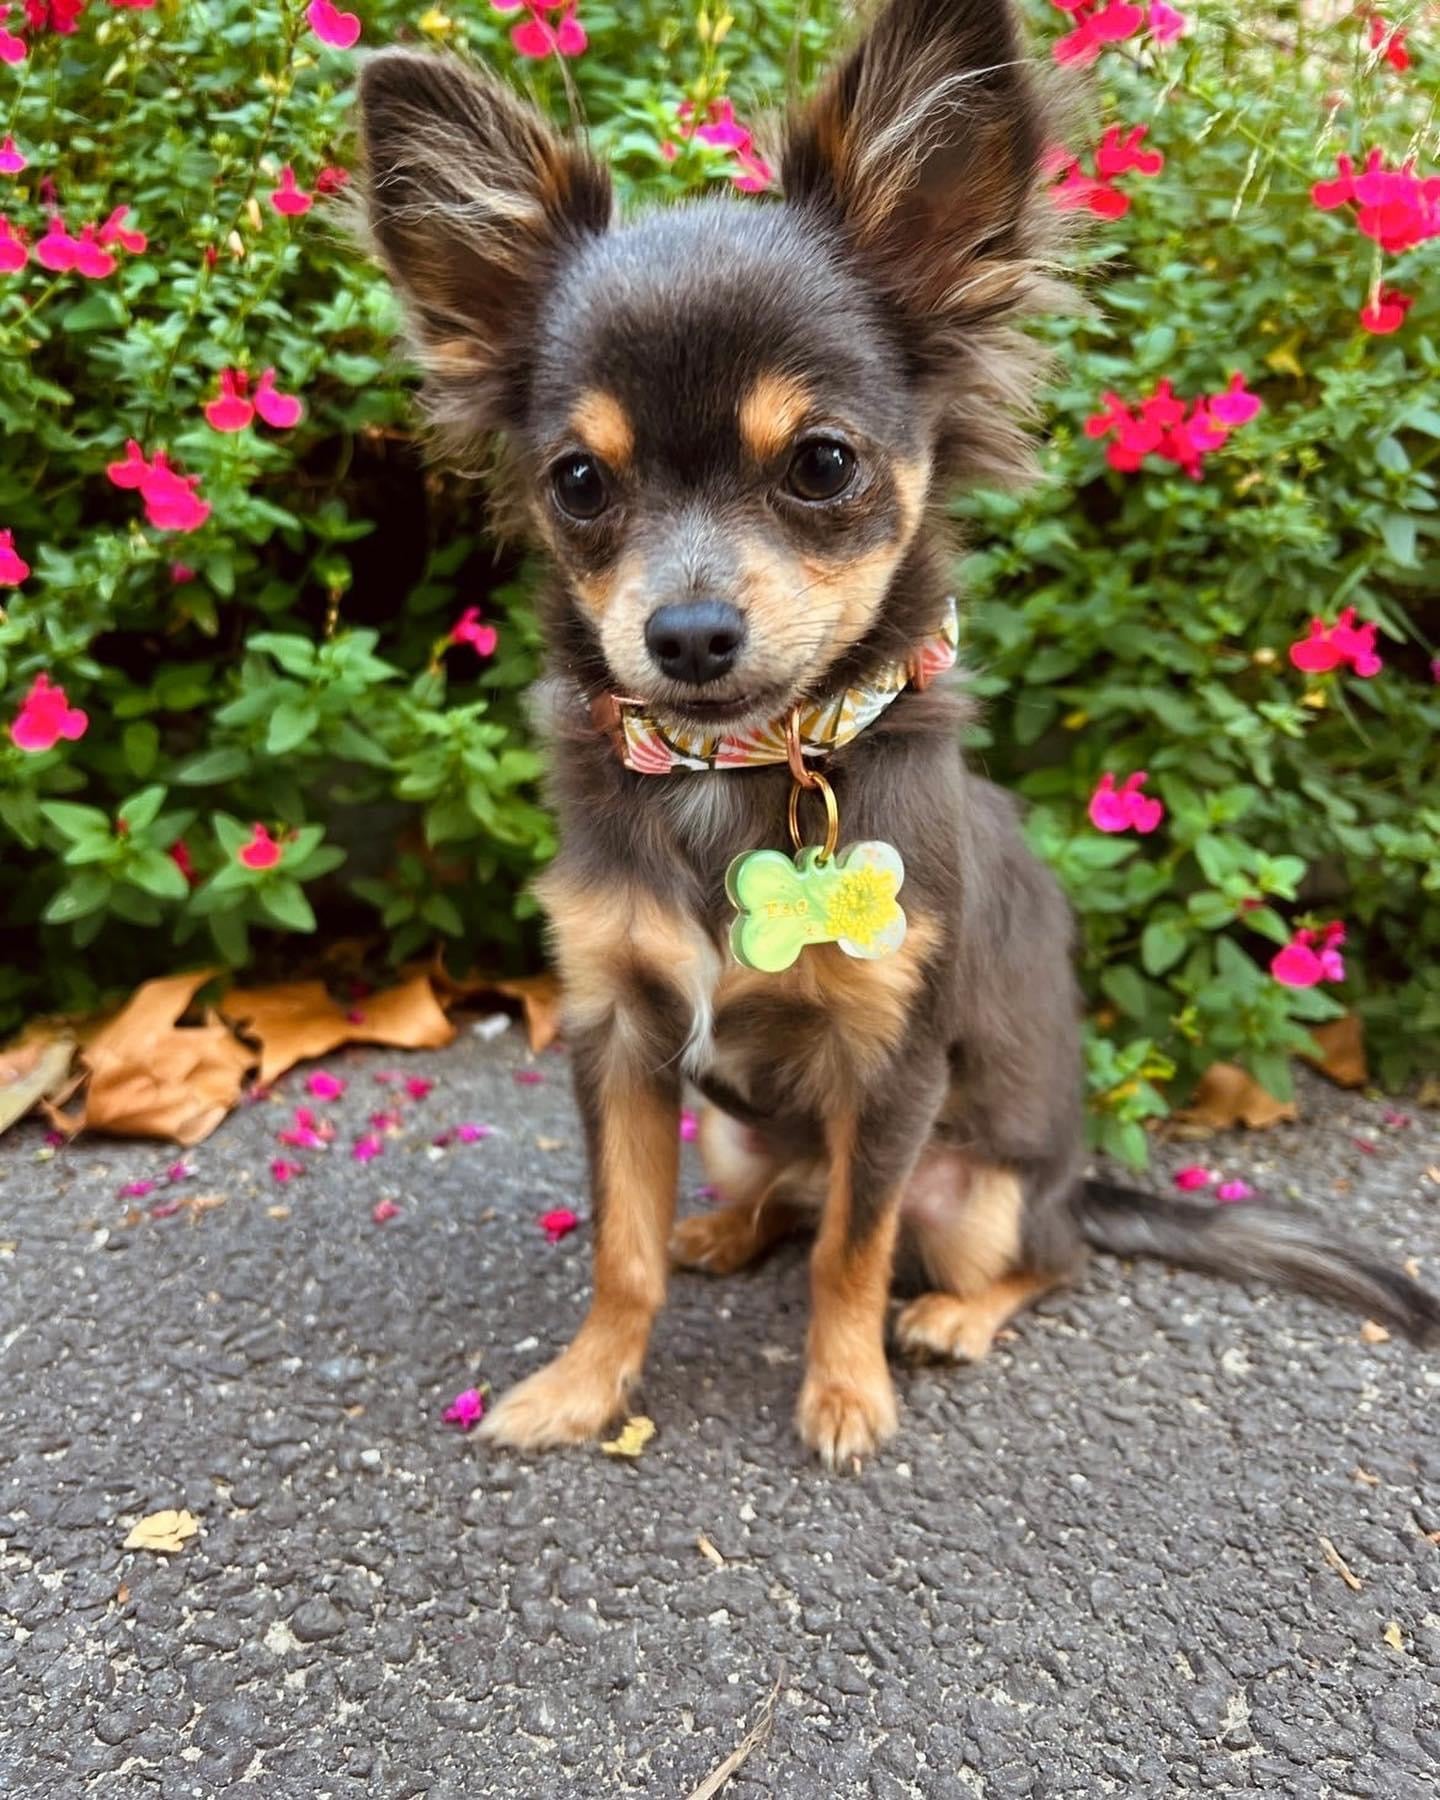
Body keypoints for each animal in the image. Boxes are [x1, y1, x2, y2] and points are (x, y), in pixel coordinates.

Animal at [354, 0, 1432, 1461]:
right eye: (578, 482)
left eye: (823, 463)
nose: (687, 634)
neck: (741, 770)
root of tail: (1079, 1182)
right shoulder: (619, 1034)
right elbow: (621, 1246)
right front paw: (584, 1386)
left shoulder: (892, 1064)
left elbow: (853, 1254)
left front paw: (845, 1393)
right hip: (738, 1131)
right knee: (786, 1196)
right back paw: (724, 1230)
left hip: (985, 1191)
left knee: (1026, 1257)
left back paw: (955, 1316)